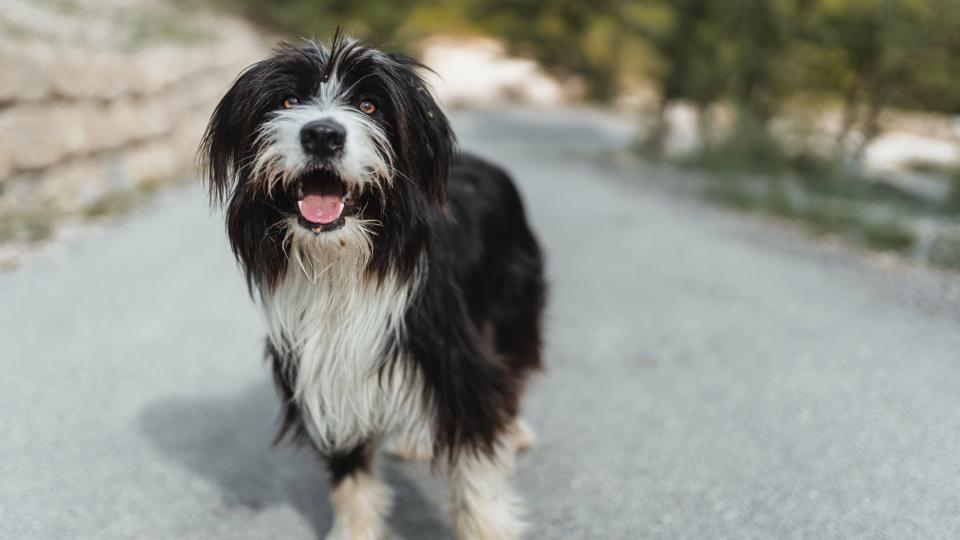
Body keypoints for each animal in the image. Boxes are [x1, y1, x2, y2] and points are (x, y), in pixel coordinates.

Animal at [201, 34, 548, 540]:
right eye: (287, 101)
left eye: (369, 105)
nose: (322, 135)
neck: (344, 266)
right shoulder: (327, 372)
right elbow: (352, 479)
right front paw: (354, 531)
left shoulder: (454, 359)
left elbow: (476, 468)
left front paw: (486, 525)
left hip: (512, 301)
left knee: (514, 366)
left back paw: (514, 428)